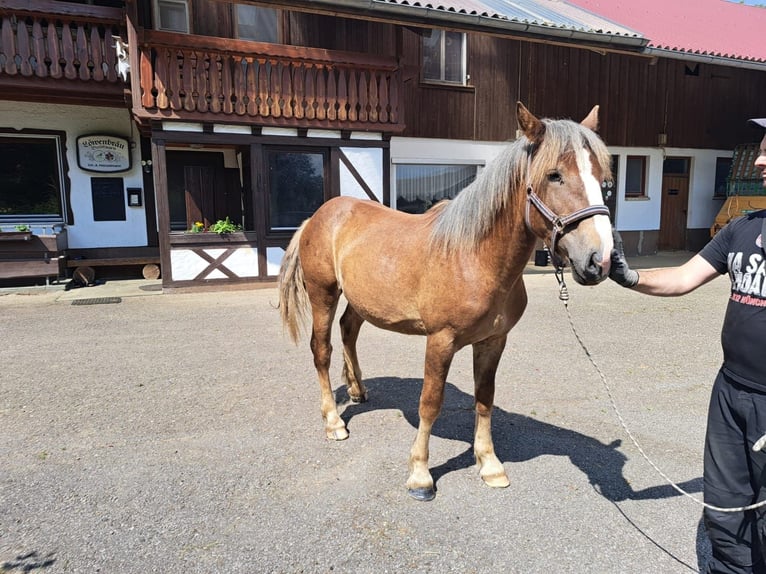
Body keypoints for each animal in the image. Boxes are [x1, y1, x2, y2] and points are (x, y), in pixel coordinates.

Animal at [280, 102, 616, 500]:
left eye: (604, 179)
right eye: (554, 175)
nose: (599, 260)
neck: (474, 258)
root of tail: (319, 216)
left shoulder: (493, 341)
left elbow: (484, 398)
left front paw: (489, 464)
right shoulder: (440, 341)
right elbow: (430, 403)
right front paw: (420, 475)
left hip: (361, 301)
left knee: (349, 331)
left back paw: (358, 390)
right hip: (324, 294)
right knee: (322, 351)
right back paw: (333, 422)